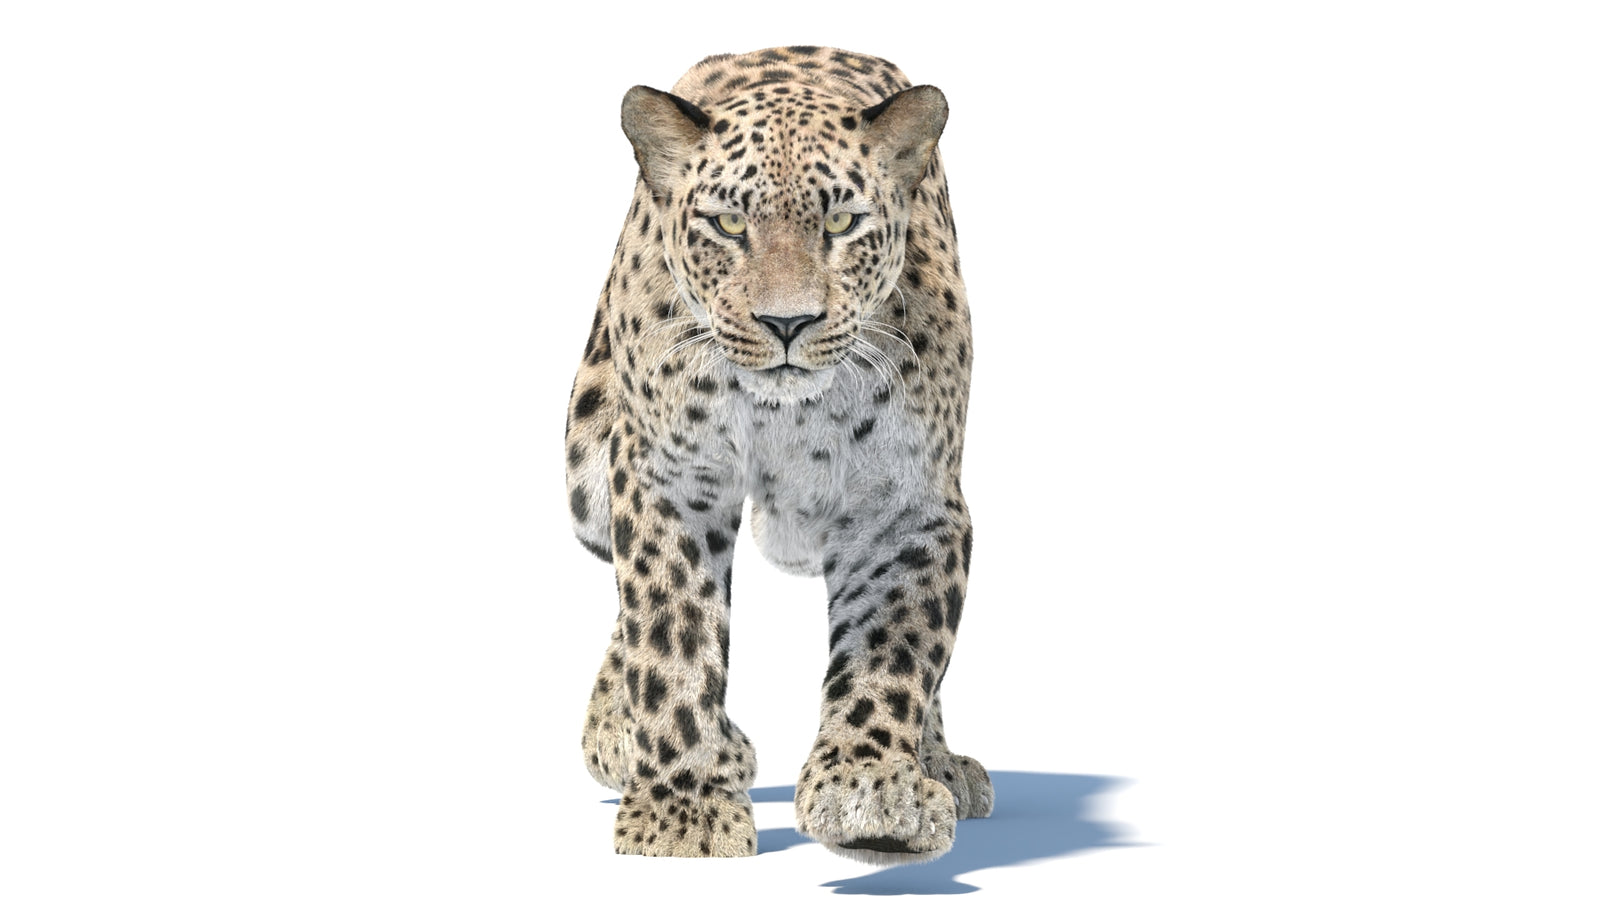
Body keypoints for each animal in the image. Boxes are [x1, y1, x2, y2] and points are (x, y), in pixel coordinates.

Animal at [564, 46, 991, 865]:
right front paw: (682, 809)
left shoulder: (910, 507)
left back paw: (941, 764)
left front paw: (873, 788)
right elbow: (669, 634)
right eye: (729, 224)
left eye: (842, 222)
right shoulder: (668, 480)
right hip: (587, 473)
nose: (787, 323)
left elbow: (895, 650)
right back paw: (622, 732)